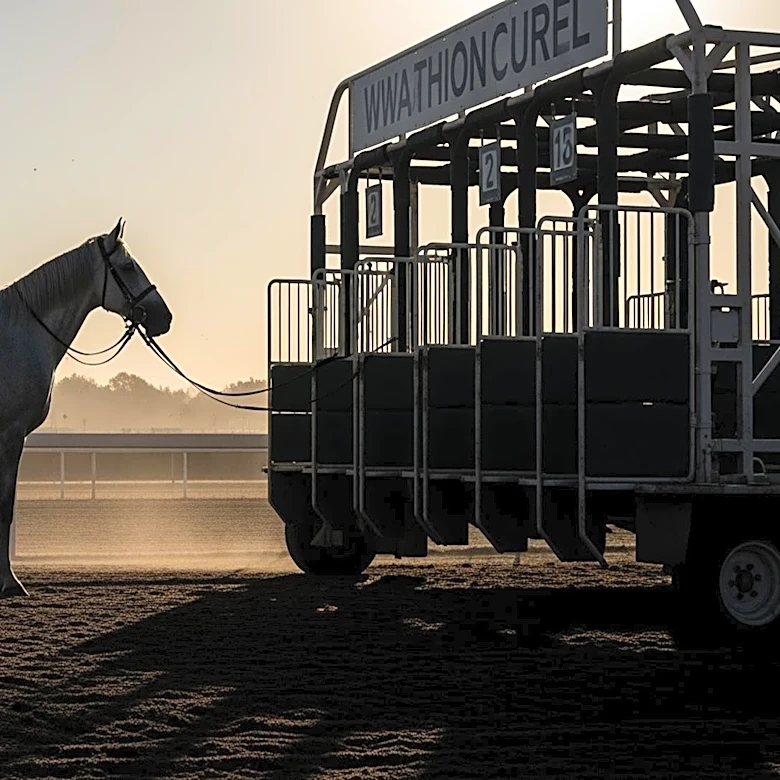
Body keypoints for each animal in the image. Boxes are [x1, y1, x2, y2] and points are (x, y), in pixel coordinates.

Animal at [0, 219, 172, 597]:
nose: (164, 317)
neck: (22, 332)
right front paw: (10, 582)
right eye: (127, 266)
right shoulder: (11, 435)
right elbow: (6, 506)